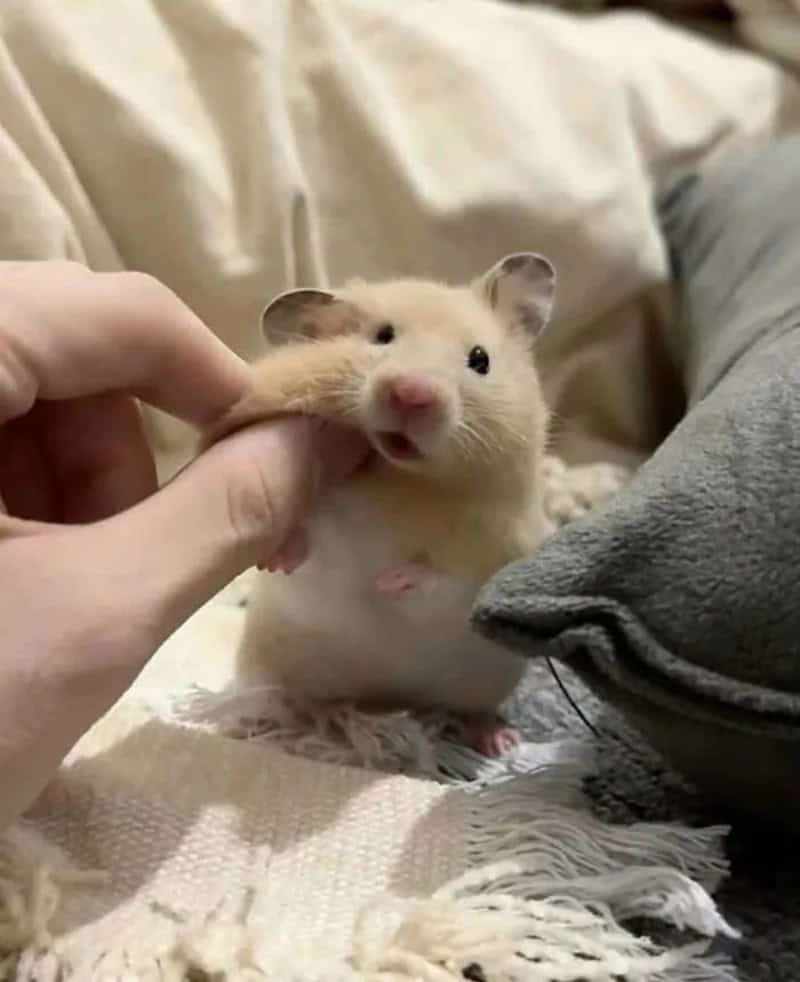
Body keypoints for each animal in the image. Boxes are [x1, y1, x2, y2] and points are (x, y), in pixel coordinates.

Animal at [210, 253, 557, 756]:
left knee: (472, 710)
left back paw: (499, 741)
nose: (412, 392)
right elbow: (313, 543)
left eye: (480, 360)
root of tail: (384, 701)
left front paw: (389, 581)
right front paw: (277, 558)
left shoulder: (493, 559)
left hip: (488, 678)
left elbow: (443, 581)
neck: (400, 478)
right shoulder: (330, 535)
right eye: (382, 336)